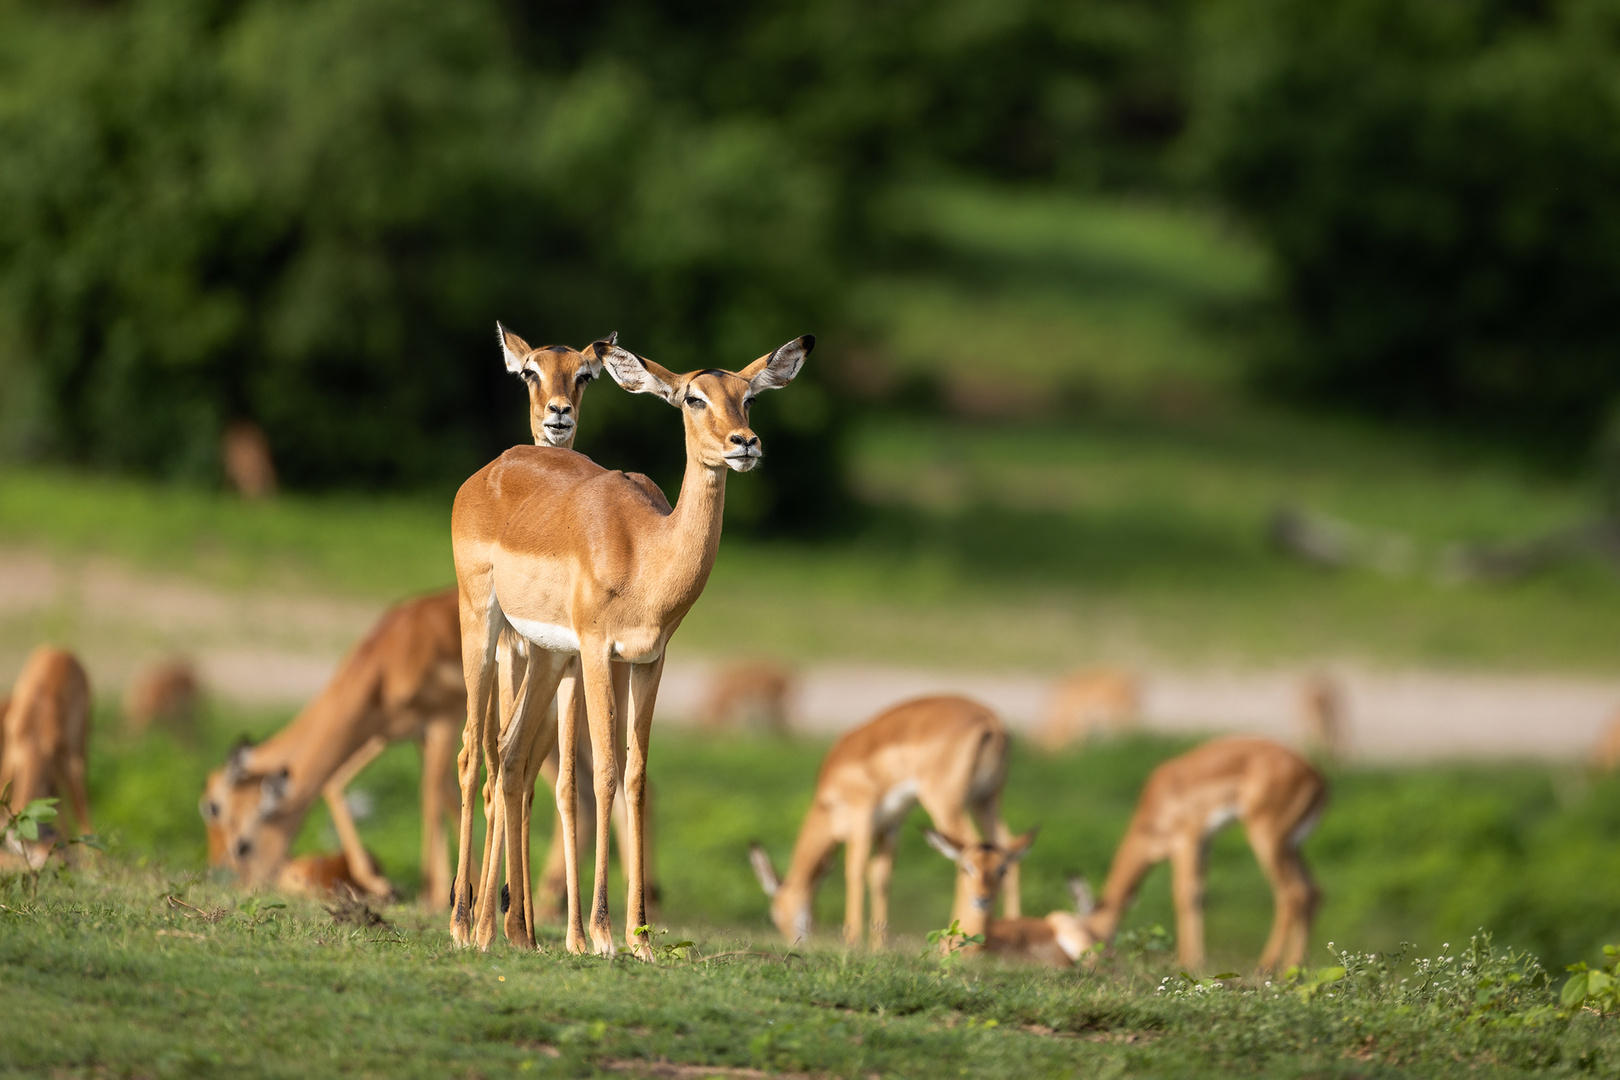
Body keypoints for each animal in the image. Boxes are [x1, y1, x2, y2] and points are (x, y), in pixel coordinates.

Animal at [0, 647, 93, 867]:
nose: (66, 861)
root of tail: (60, 650)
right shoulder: (12, 758)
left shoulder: (69, 765)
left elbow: (82, 813)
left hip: (80, 745)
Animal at [199, 592, 463, 906]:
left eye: (212, 807)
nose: (231, 881)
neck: (391, 655)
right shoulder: (405, 732)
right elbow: (448, 795)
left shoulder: (443, 721)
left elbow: (433, 797)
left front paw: (435, 898)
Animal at [450, 331, 810, 952]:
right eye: (693, 397)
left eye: (749, 398)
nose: (744, 443)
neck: (646, 550)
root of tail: (492, 470)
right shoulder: (597, 653)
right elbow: (603, 773)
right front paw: (601, 934)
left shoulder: (649, 661)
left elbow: (636, 775)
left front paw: (640, 937)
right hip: (485, 626)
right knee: (476, 750)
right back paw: (462, 925)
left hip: (547, 657)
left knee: (511, 753)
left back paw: (504, 932)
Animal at [741, 702, 1010, 945]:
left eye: (775, 916)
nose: (794, 941)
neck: (826, 801)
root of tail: (990, 720)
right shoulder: (890, 827)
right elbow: (881, 877)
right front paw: (878, 947)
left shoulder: (861, 819)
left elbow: (855, 871)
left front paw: (851, 942)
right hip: (986, 800)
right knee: (1006, 845)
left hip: (946, 804)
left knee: (969, 850)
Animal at [1069, 738, 1321, 977]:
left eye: (1089, 939)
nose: (1093, 967)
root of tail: (1317, 778)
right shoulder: (1204, 844)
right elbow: (1200, 893)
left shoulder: (1186, 840)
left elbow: (1185, 895)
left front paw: (1189, 963)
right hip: (1291, 846)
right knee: (1312, 892)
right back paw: (1291, 967)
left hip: (1267, 838)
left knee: (1293, 893)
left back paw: (1265, 967)